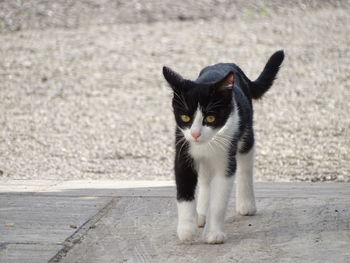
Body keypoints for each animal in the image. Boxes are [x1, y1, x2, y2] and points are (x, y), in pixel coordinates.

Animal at [163, 50, 284, 244]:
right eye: (185, 117)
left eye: (210, 118)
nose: (195, 134)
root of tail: (229, 64)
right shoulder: (183, 150)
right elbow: (184, 191)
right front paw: (186, 230)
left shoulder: (226, 159)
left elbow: (219, 199)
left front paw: (214, 234)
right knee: (205, 178)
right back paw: (201, 214)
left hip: (245, 130)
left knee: (245, 163)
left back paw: (246, 203)